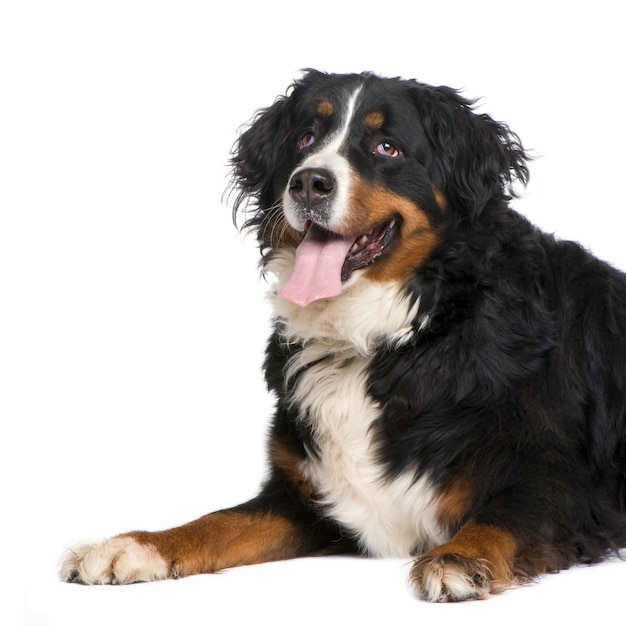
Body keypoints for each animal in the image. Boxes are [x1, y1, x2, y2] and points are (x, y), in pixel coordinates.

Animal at [61, 69, 624, 600]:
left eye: (386, 147)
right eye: (306, 138)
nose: (309, 183)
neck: (388, 336)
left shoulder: (564, 484)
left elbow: (501, 518)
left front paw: (459, 557)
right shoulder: (302, 498)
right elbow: (218, 521)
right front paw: (133, 546)